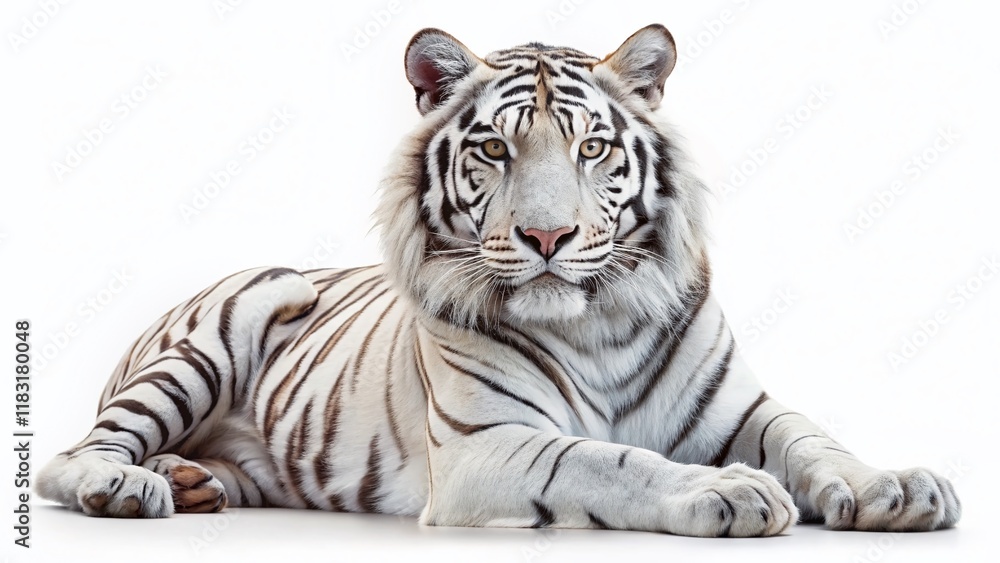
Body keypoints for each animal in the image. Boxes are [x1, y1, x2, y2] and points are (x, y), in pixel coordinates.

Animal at [37, 24, 960, 537]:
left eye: (591, 147)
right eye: (494, 148)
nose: (547, 235)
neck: (599, 321)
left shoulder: (742, 409)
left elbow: (815, 438)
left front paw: (895, 485)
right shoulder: (486, 445)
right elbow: (608, 460)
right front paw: (726, 488)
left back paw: (194, 480)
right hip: (239, 315)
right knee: (68, 455)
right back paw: (129, 484)